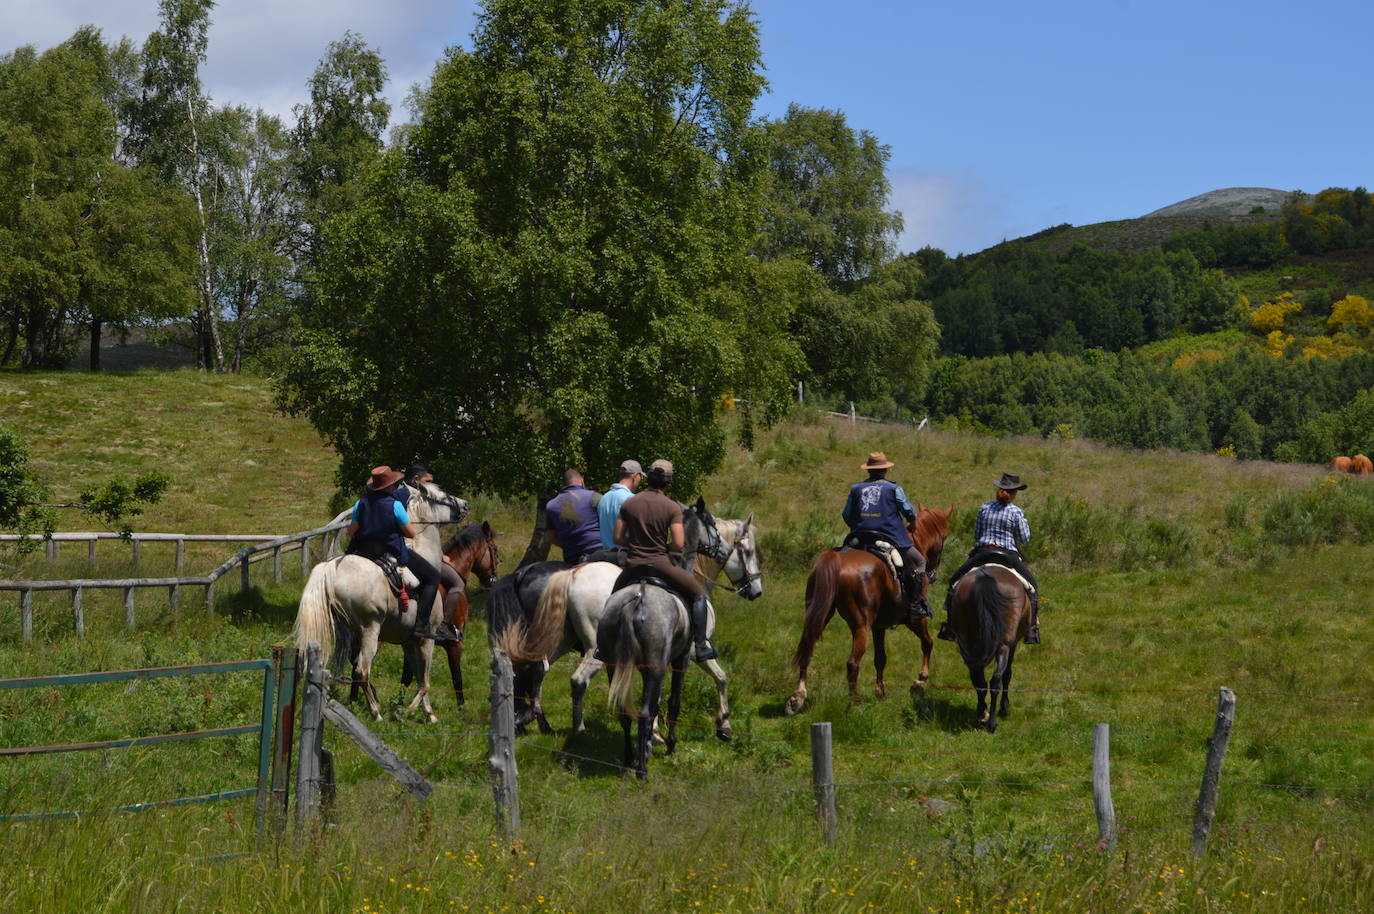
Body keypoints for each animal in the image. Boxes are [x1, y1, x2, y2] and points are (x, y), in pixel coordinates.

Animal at [292, 481, 469, 725]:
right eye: (443, 497)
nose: (465, 504)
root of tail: (329, 568)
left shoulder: (408, 642)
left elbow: (416, 677)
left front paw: (428, 713)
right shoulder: (427, 639)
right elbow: (425, 681)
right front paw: (408, 711)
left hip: (347, 631)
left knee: (354, 667)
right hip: (370, 631)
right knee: (362, 670)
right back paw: (376, 712)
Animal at [494, 500, 758, 736]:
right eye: (749, 552)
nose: (756, 591)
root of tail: (571, 576)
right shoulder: (693, 650)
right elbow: (720, 678)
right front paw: (723, 724)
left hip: (557, 639)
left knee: (535, 670)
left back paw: (538, 723)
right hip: (590, 647)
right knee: (574, 680)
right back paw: (576, 729)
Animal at [785, 503, 956, 714]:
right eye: (945, 536)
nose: (933, 573)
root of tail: (838, 559)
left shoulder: (878, 626)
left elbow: (880, 658)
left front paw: (880, 692)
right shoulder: (915, 619)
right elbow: (928, 643)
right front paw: (920, 682)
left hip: (820, 615)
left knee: (808, 649)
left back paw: (798, 697)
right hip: (861, 626)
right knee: (852, 663)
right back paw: (854, 704)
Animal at [950, 563, 1033, 736]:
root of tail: (985, 577)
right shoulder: (1012, 643)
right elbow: (1007, 674)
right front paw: (1005, 708)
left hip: (969, 643)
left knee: (979, 679)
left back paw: (983, 715)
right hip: (1004, 644)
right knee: (997, 679)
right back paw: (993, 722)